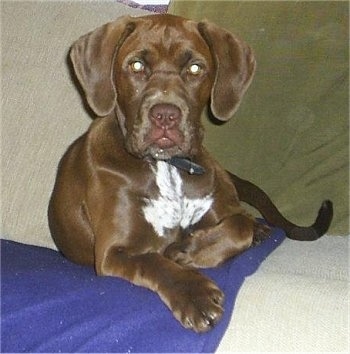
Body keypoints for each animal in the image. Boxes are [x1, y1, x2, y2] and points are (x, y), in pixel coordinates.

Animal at [48, 13, 330, 332]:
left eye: (195, 68)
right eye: (136, 66)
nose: (165, 115)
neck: (168, 167)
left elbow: (237, 227)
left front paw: (187, 251)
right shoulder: (113, 251)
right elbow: (154, 262)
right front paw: (195, 295)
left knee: (244, 216)